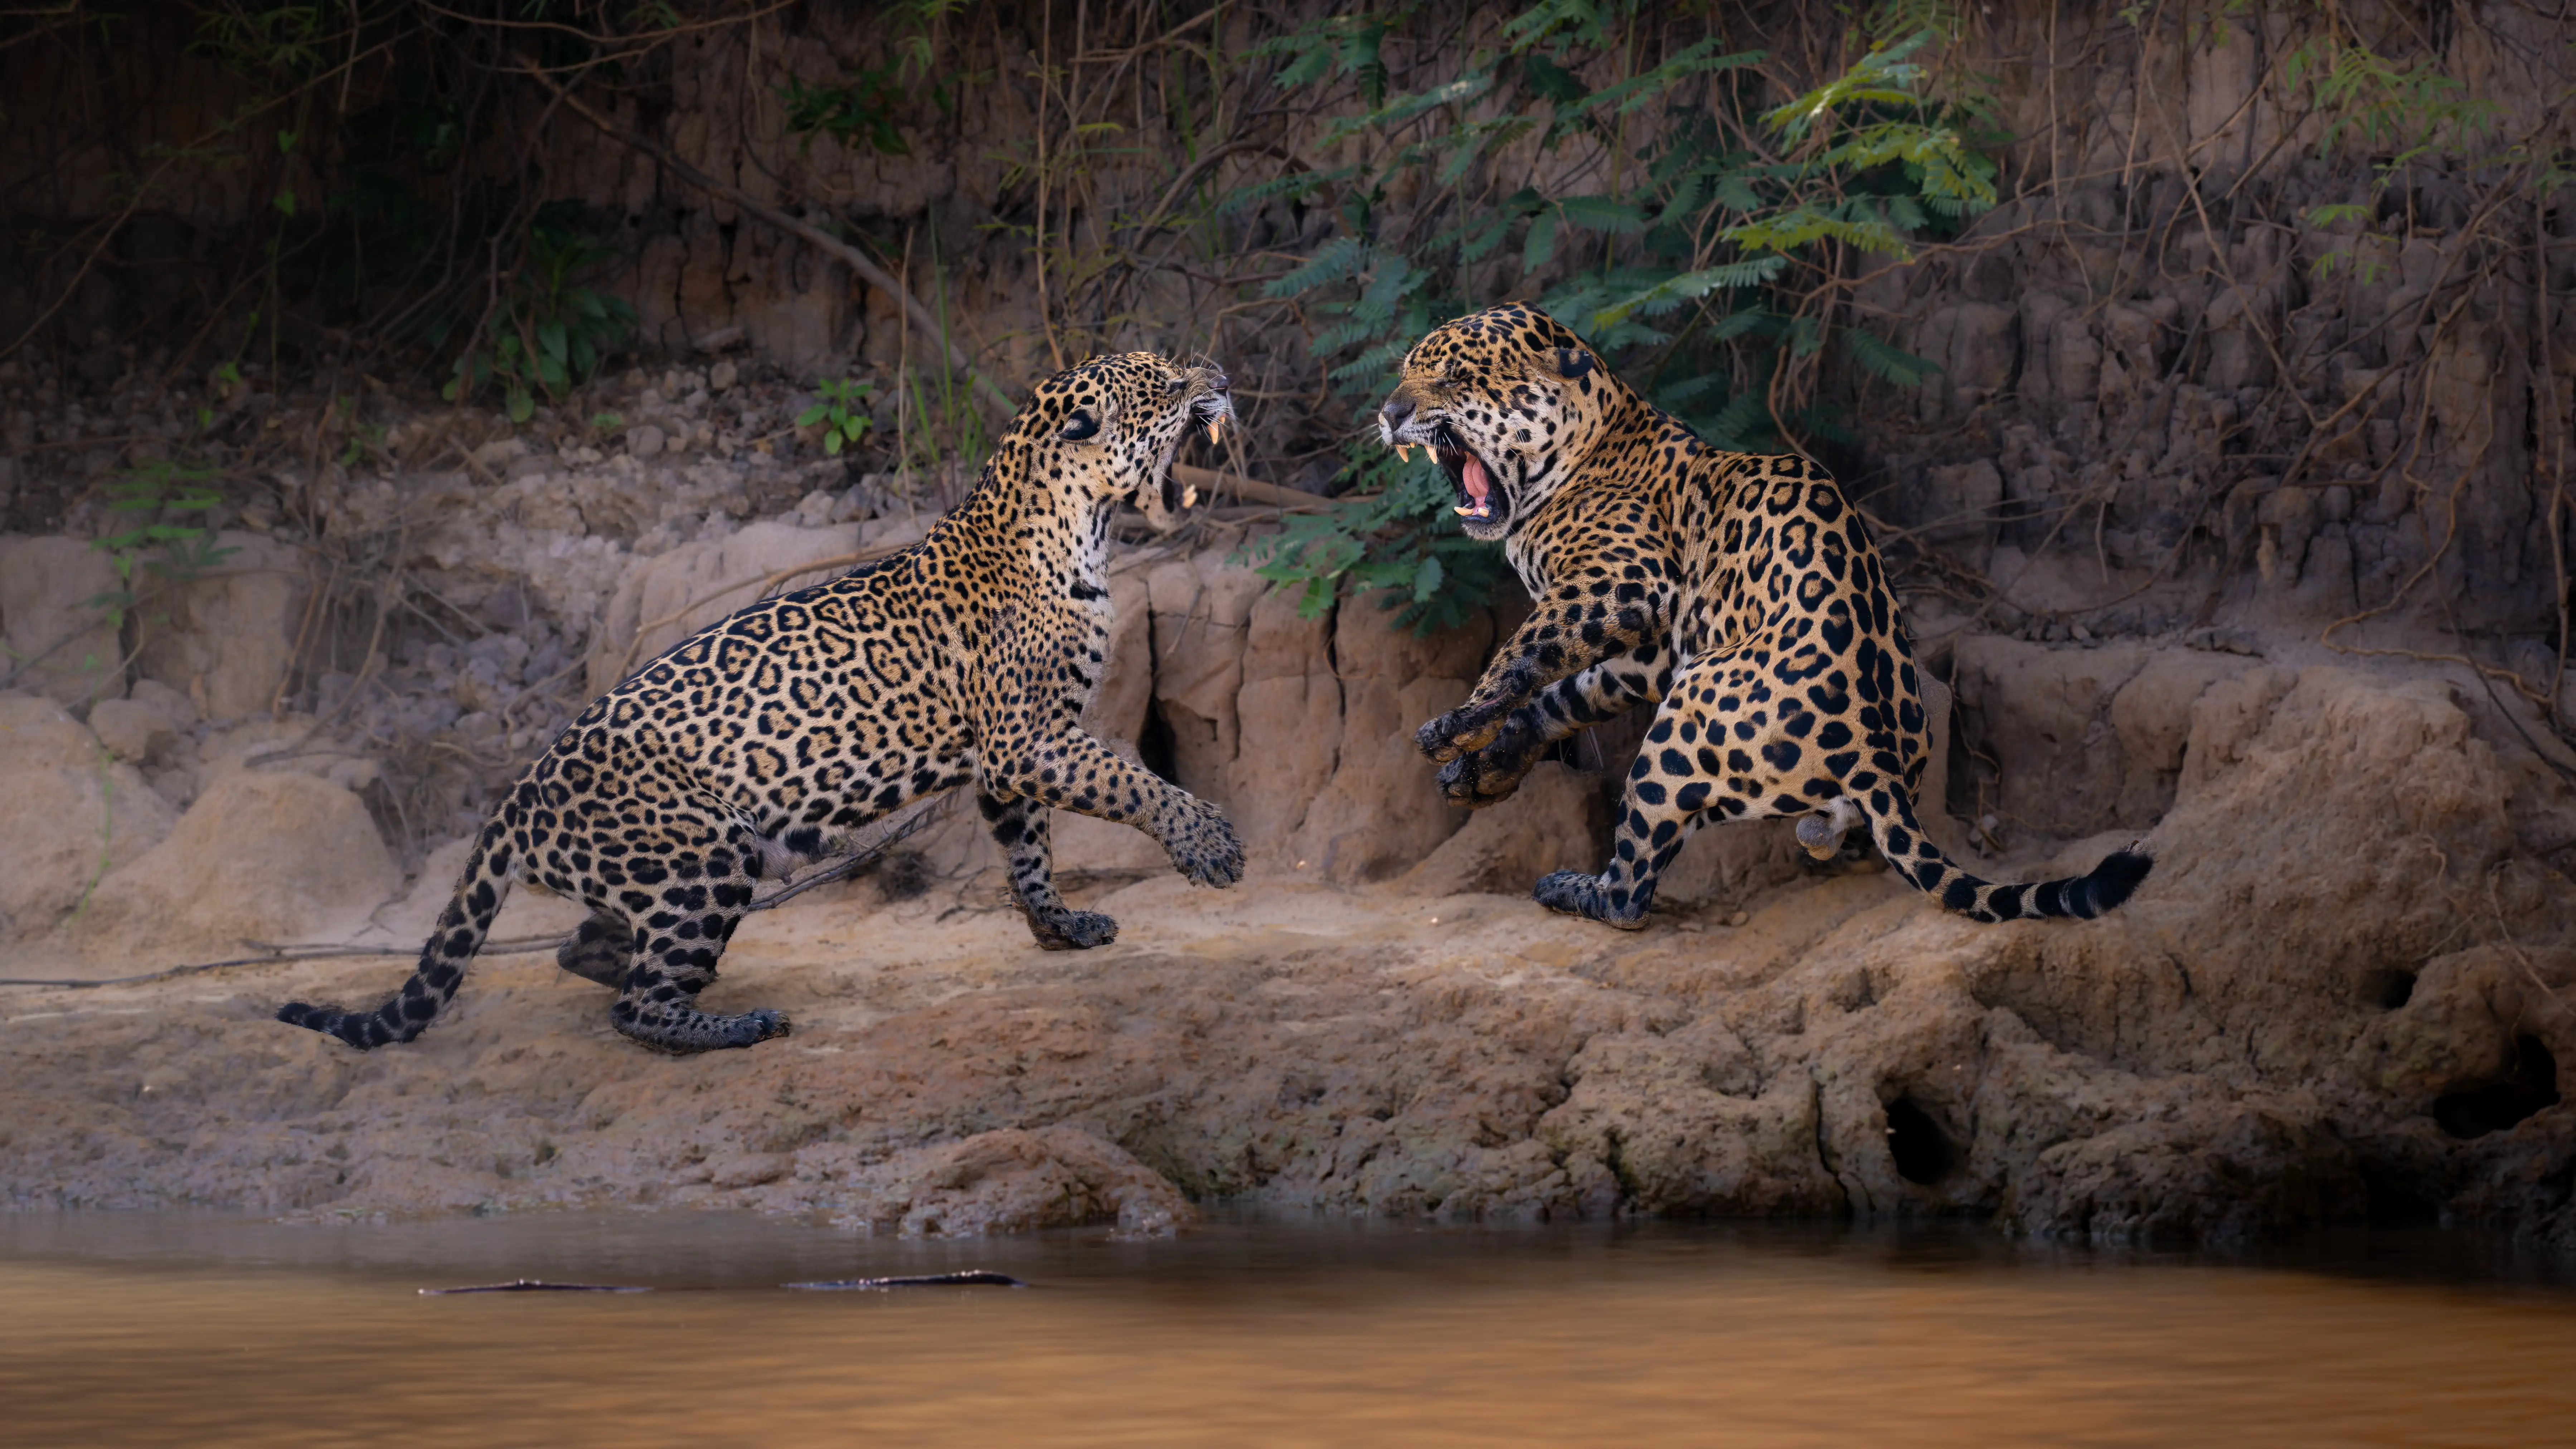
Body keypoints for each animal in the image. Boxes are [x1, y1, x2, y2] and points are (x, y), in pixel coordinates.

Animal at [277, 352, 1247, 1054]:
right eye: (1164, 382)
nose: (1223, 380)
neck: (1080, 527)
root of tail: (517, 796)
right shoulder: (1028, 738)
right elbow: (1130, 782)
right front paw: (1207, 842)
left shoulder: (1008, 760)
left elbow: (1031, 853)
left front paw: (1060, 927)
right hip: (706, 848)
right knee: (634, 1002)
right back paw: (728, 1026)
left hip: (673, 869)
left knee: (585, 949)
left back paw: (684, 981)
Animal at [1379, 303, 2151, 928]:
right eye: (1406, 371)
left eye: (1453, 377)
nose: (1389, 413)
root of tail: (1876, 755)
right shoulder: (1657, 648)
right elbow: (1566, 688)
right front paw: (1487, 764)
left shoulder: (1627, 584)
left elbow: (1522, 650)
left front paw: (1457, 728)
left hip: (1688, 711)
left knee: (1630, 893)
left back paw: (1572, 889)